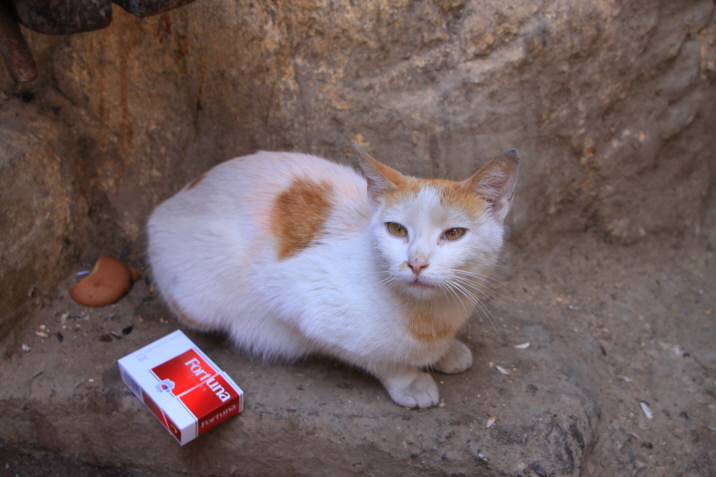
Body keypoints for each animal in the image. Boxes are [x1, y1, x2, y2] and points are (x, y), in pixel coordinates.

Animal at [148, 147, 516, 408]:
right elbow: (375, 358)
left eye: (453, 234)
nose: (416, 263)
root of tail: (163, 207)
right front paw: (410, 380)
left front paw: (447, 352)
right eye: (396, 230)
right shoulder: (300, 302)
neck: (432, 318)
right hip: (201, 302)